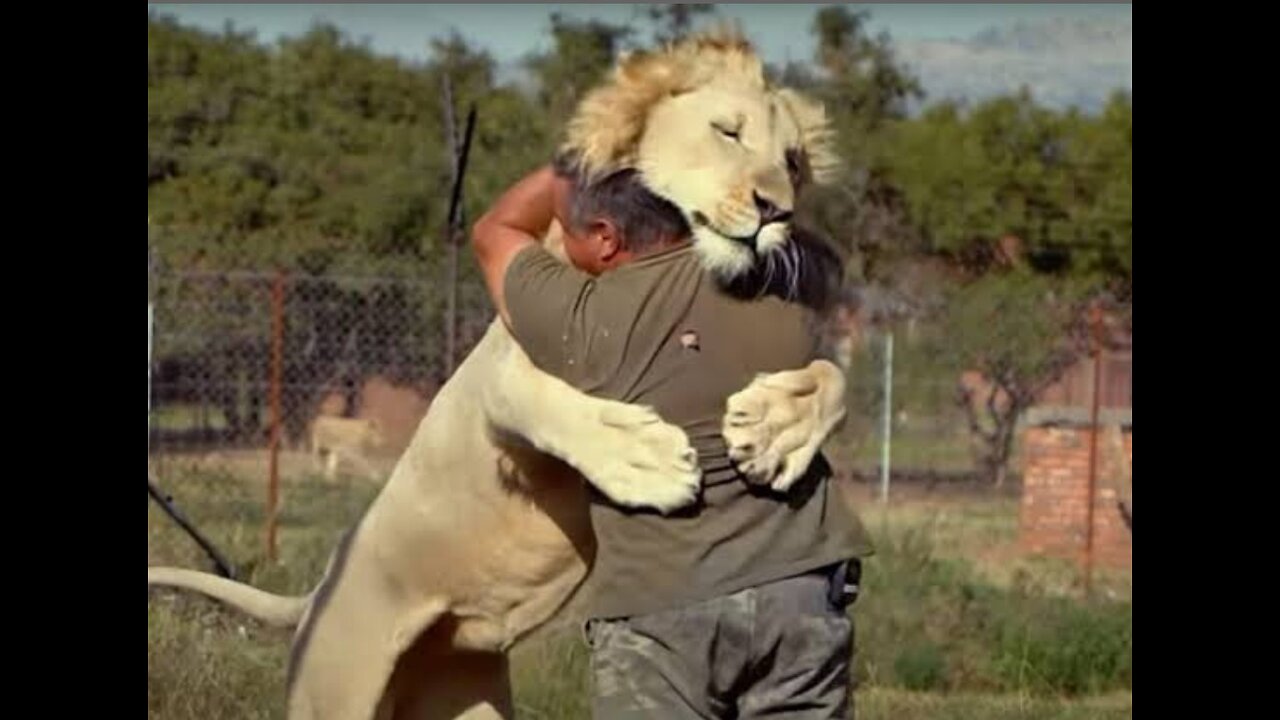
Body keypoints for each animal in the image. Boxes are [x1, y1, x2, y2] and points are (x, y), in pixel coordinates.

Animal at [149, 29, 849, 717]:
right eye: (727, 131)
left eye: (793, 161)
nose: (777, 212)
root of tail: (321, 587)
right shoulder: (505, 361)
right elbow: (540, 400)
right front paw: (647, 460)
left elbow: (834, 379)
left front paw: (775, 435)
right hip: (334, 692)